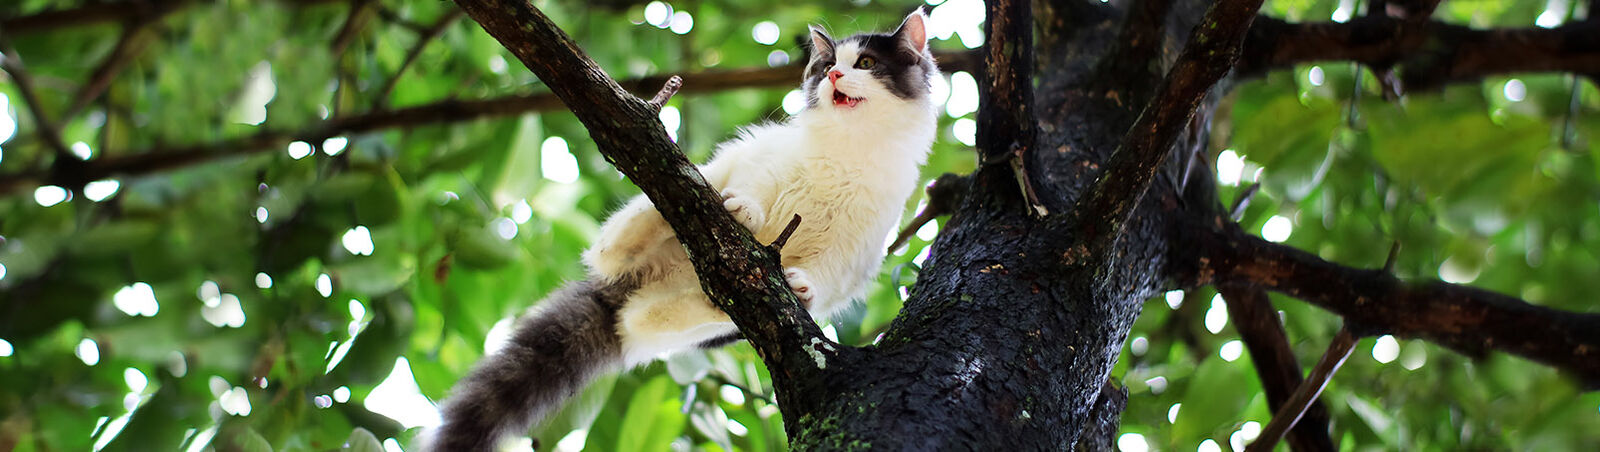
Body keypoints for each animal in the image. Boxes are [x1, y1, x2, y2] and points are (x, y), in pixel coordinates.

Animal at [422, 8, 934, 448]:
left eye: (864, 63)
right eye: (827, 64)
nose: (831, 76)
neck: (849, 150)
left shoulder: (857, 251)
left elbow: (824, 276)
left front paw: (802, 285)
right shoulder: (764, 155)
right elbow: (754, 183)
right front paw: (746, 210)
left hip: (686, 322)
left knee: (640, 320)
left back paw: (702, 299)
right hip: (669, 206)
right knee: (611, 246)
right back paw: (662, 206)